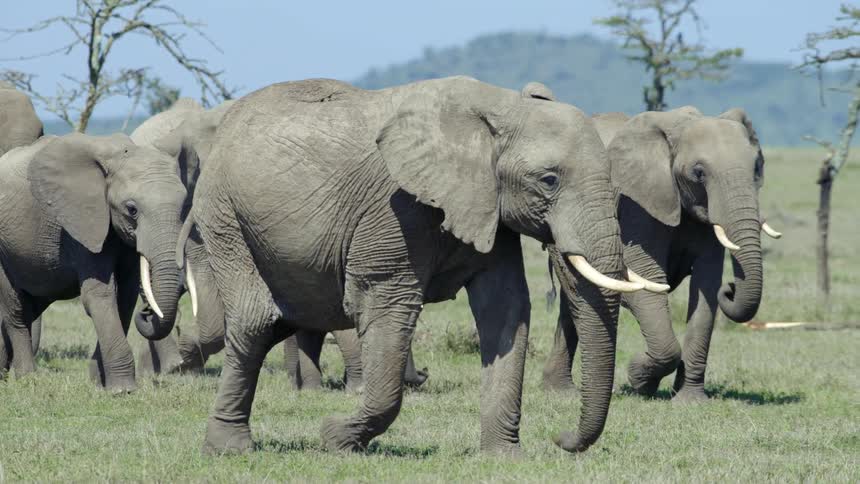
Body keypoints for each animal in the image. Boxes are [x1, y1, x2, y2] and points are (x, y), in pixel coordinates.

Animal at [0, 132, 188, 390]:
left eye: (183, 206)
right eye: (132, 209)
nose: (148, 312)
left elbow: (125, 298)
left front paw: (98, 382)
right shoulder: (80, 224)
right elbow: (99, 294)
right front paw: (122, 390)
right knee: (16, 311)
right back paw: (27, 378)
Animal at [185, 76, 653, 455]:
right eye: (549, 180)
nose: (560, 439)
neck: (500, 108)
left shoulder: (488, 208)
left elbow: (505, 309)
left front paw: (504, 458)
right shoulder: (395, 211)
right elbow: (386, 305)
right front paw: (335, 438)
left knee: (280, 322)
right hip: (224, 216)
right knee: (256, 322)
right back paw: (229, 449)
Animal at [542, 106, 781, 402]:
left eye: (757, 167)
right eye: (699, 173)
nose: (731, 288)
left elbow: (706, 286)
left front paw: (688, 400)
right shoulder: (637, 203)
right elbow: (646, 275)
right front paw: (638, 380)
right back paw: (562, 393)